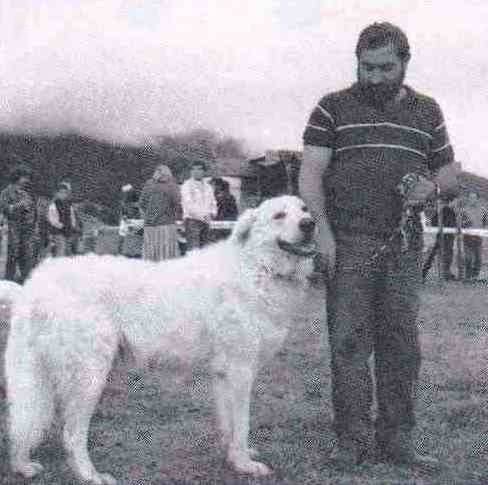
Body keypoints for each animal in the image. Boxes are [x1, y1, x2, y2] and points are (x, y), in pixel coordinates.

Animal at [5, 195, 318, 482]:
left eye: (304, 209)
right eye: (279, 215)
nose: (310, 223)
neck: (257, 266)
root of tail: (36, 283)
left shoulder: (223, 374)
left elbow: (229, 424)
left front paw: (234, 457)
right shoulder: (240, 371)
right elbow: (242, 424)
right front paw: (244, 464)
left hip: (40, 378)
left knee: (22, 422)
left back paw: (22, 466)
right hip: (89, 377)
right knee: (70, 435)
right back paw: (90, 475)